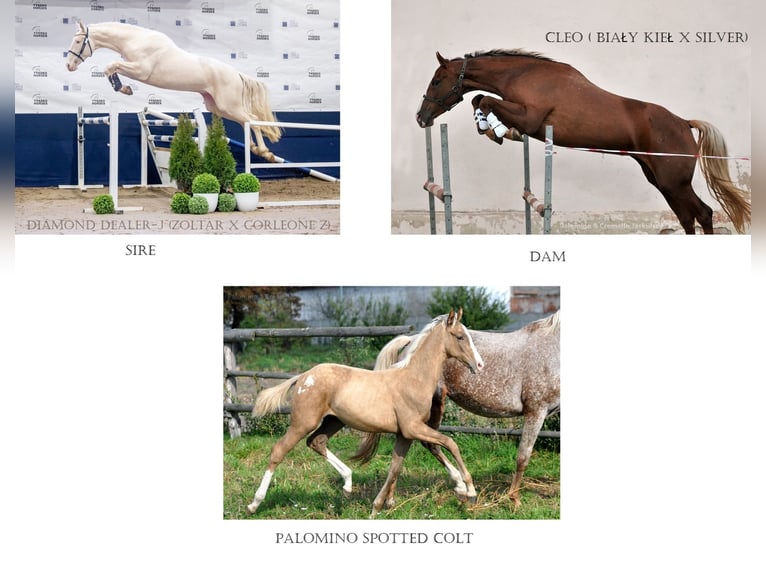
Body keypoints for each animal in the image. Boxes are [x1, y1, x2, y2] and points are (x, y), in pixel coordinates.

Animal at [65, 21, 281, 162]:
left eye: (78, 42)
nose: (69, 66)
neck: (136, 40)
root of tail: (236, 74)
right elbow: (111, 68)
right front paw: (123, 88)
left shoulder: (141, 70)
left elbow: (110, 66)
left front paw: (123, 88)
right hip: (219, 107)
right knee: (246, 121)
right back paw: (255, 148)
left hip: (229, 105)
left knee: (252, 119)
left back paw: (265, 152)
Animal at [247, 309, 485, 518]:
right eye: (460, 337)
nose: (480, 365)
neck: (413, 379)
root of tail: (303, 376)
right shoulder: (412, 428)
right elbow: (450, 442)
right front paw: (469, 490)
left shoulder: (405, 434)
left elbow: (395, 467)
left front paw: (377, 508)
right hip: (303, 422)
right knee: (279, 450)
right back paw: (254, 504)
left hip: (334, 421)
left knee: (317, 442)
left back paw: (347, 483)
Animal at [354, 311, 560, 510]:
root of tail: (410, 341)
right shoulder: (536, 411)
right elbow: (523, 456)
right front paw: (514, 500)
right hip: (434, 405)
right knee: (429, 444)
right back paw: (461, 488)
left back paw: (391, 500)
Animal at [416, 50, 751, 235]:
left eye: (436, 81)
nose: (422, 117)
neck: (524, 74)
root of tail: (684, 123)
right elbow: (479, 99)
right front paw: (492, 128)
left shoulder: (531, 119)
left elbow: (485, 99)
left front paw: (493, 129)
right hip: (661, 181)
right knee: (687, 217)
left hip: (674, 182)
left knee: (702, 214)